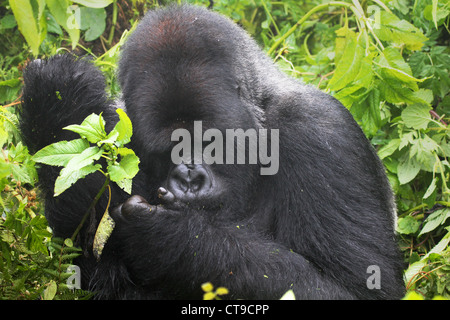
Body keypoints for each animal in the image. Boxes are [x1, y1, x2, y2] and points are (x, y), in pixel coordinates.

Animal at [19, 4, 404, 300]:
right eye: (168, 150)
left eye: (210, 142)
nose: (190, 177)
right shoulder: (117, 130)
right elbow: (88, 273)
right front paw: (57, 105)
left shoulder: (321, 132)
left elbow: (357, 288)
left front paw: (173, 241)